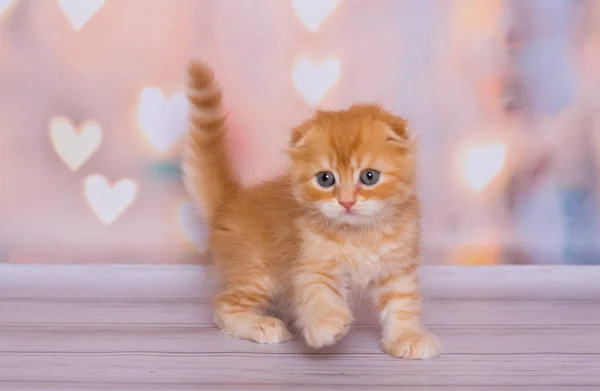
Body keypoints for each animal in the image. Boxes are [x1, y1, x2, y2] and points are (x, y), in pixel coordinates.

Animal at [183, 62, 440, 362]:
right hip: (255, 273)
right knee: (224, 306)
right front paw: (326, 325)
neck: (359, 235)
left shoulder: (398, 267)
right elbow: (319, 294)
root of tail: (230, 202)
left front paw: (407, 337)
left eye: (369, 176)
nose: (347, 202)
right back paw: (263, 325)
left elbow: (403, 304)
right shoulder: (310, 262)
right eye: (325, 179)